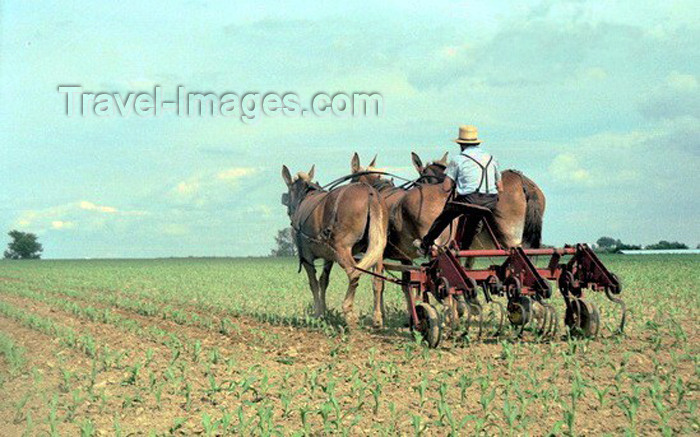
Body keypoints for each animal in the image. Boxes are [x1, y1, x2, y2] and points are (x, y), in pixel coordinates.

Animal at [280, 164, 388, 328]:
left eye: (288, 191)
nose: (289, 212)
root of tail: (370, 194)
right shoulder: (328, 257)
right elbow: (324, 281)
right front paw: (324, 312)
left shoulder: (306, 257)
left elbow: (313, 283)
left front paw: (318, 313)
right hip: (377, 250)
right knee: (377, 281)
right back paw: (377, 318)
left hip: (342, 248)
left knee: (354, 274)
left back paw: (349, 313)